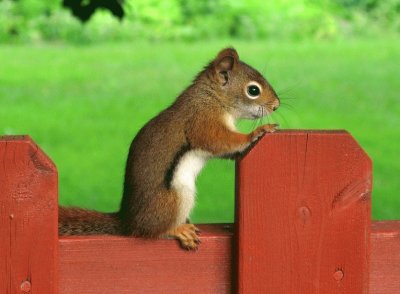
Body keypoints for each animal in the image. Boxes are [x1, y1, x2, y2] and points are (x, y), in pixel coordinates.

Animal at [58, 47, 278, 249]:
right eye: (253, 90)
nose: (276, 105)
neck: (212, 97)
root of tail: (128, 223)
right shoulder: (202, 121)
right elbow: (219, 141)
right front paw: (257, 132)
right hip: (176, 197)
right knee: (153, 231)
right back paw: (177, 229)